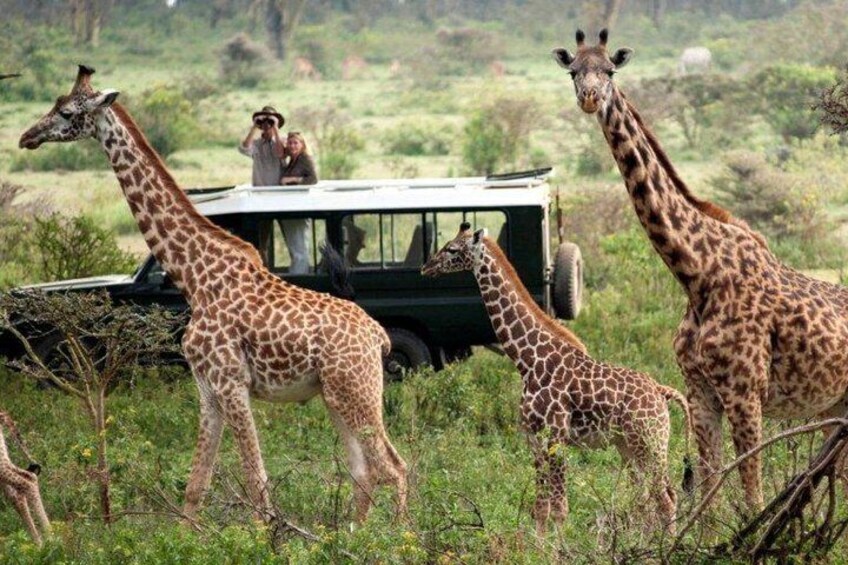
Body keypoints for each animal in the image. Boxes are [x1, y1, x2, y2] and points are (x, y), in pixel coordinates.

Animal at [17, 67, 408, 524]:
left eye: (65, 112)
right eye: (55, 103)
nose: (26, 136)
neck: (195, 279)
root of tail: (377, 336)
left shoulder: (230, 381)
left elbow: (256, 482)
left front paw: (268, 536)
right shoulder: (206, 388)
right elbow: (195, 487)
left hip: (357, 388)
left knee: (394, 467)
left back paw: (399, 535)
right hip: (335, 394)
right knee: (363, 470)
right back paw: (350, 533)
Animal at [420, 224, 692, 532]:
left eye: (452, 249)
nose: (426, 267)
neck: (528, 360)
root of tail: (661, 391)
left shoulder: (557, 435)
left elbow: (561, 509)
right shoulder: (533, 437)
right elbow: (541, 508)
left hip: (651, 443)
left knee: (666, 498)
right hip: (629, 446)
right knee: (647, 497)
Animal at [548, 28, 848, 512]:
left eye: (610, 71)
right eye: (574, 71)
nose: (590, 98)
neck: (696, 274)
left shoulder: (745, 393)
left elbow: (750, 493)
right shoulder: (700, 393)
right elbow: (708, 492)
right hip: (834, 404)